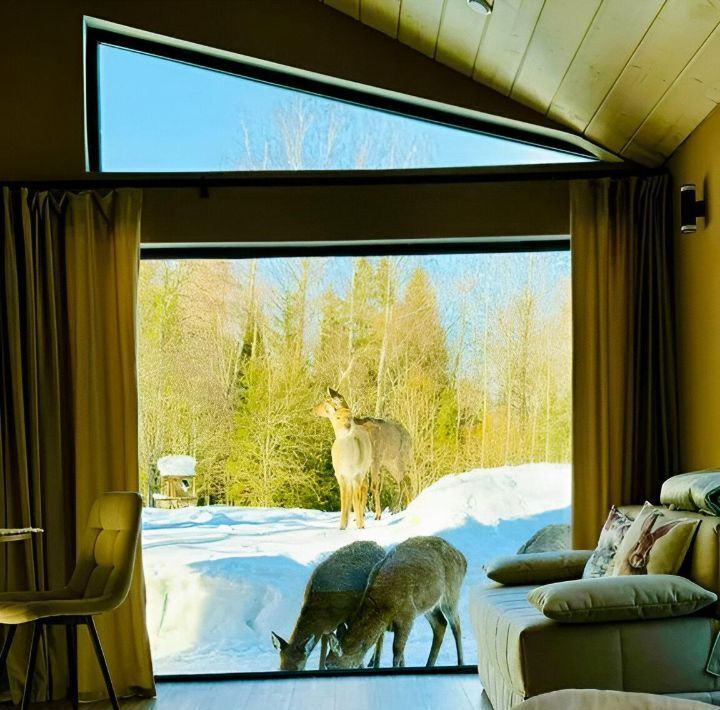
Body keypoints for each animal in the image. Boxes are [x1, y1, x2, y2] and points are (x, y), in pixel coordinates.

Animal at [270, 544, 386, 672]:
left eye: (299, 668)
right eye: (280, 668)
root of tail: (379, 547)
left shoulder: (349, 616)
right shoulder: (326, 629)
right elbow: (323, 655)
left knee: (381, 632)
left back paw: (375, 662)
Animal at [322, 536, 466, 672]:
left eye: (331, 666)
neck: (382, 608)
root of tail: (463, 559)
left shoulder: (408, 615)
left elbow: (397, 652)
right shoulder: (386, 627)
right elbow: (381, 651)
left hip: (451, 593)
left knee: (456, 625)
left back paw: (461, 663)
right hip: (428, 605)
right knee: (440, 624)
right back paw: (428, 665)